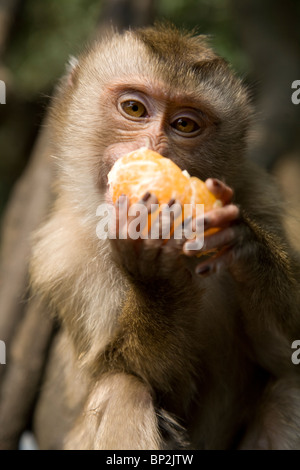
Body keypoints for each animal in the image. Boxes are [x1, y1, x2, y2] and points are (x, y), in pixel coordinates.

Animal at [29, 25, 300, 452]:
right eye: (134, 109)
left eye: (185, 125)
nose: (153, 151)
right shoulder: (61, 256)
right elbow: (136, 373)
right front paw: (158, 282)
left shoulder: (260, 197)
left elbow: (284, 357)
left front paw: (248, 249)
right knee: (123, 389)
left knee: (290, 391)